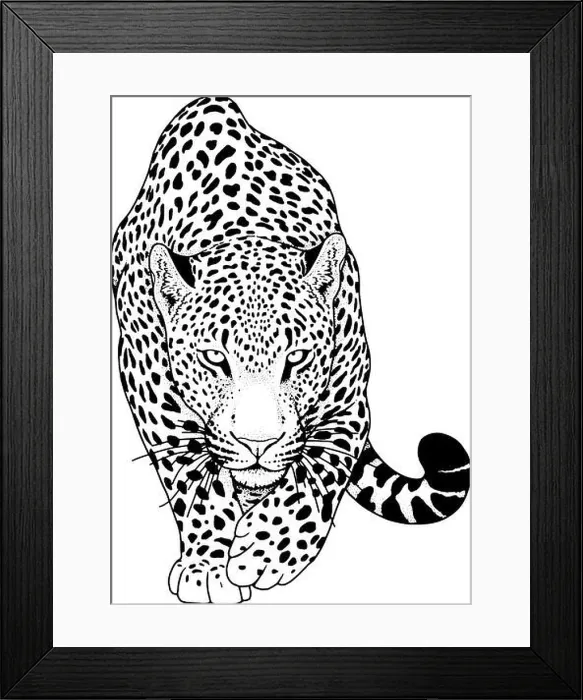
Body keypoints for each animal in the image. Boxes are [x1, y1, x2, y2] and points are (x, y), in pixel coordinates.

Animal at [112, 96, 470, 603]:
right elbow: (195, 483)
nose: (257, 444)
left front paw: (263, 553)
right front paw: (207, 565)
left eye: (295, 359)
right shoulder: (154, 399)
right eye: (215, 359)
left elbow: (316, 483)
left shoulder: (346, 409)